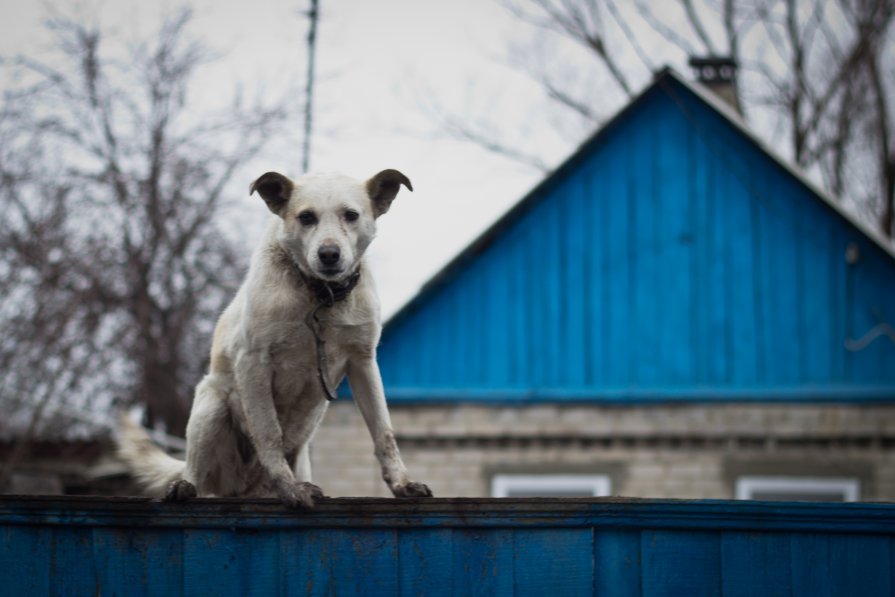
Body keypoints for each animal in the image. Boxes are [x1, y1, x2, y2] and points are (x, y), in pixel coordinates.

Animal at [119, 169, 434, 508]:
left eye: (351, 215)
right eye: (306, 217)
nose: (329, 254)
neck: (321, 296)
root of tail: (243, 488)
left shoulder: (363, 363)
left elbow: (383, 432)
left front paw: (403, 484)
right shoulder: (253, 364)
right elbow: (270, 434)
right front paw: (291, 489)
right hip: (210, 408)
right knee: (196, 472)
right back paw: (184, 487)